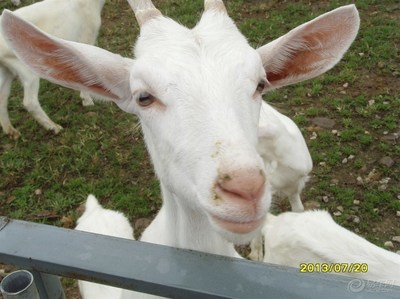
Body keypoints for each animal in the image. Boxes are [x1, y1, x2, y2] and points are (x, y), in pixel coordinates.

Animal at [0, 0, 105, 140]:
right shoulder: (87, 37)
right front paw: (87, 100)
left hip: (6, 70)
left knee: (2, 98)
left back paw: (12, 132)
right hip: (25, 67)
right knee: (29, 102)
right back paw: (54, 127)